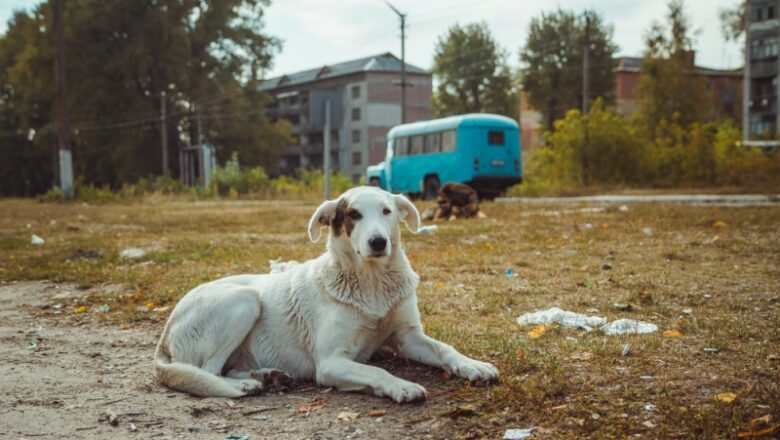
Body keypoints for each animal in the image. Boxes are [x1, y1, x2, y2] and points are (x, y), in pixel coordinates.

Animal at [155, 186, 500, 402]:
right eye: (353, 215)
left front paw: (473, 365)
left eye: (387, 211)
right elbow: (375, 369)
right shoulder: (331, 362)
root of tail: (166, 331)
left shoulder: (408, 336)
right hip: (244, 301)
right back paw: (246, 385)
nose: (378, 242)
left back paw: (267, 376)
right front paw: (400, 385)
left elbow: (445, 349)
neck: (372, 282)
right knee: (208, 371)